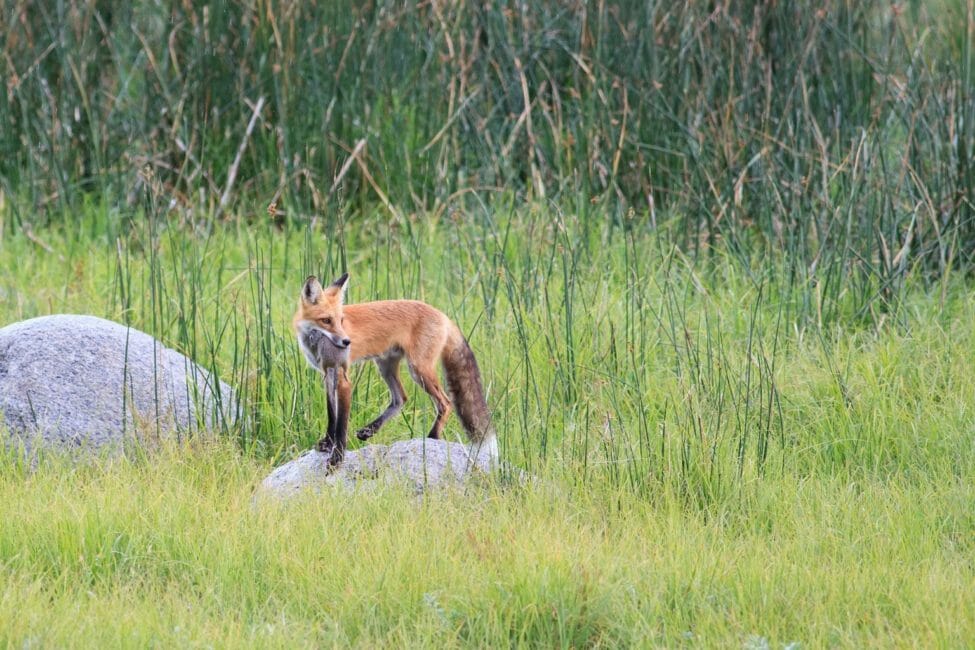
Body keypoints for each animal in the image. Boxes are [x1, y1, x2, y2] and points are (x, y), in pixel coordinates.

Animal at [292, 272, 496, 466]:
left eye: (341, 320)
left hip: (418, 370)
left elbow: (341, 424)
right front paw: (327, 443)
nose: (346, 342)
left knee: (445, 402)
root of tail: (443, 315)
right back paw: (370, 430)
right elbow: (331, 415)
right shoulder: (328, 374)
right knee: (401, 398)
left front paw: (337, 458)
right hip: (385, 366)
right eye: (326, 320)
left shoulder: (343, 379)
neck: (316, 344)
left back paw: (433, 437)